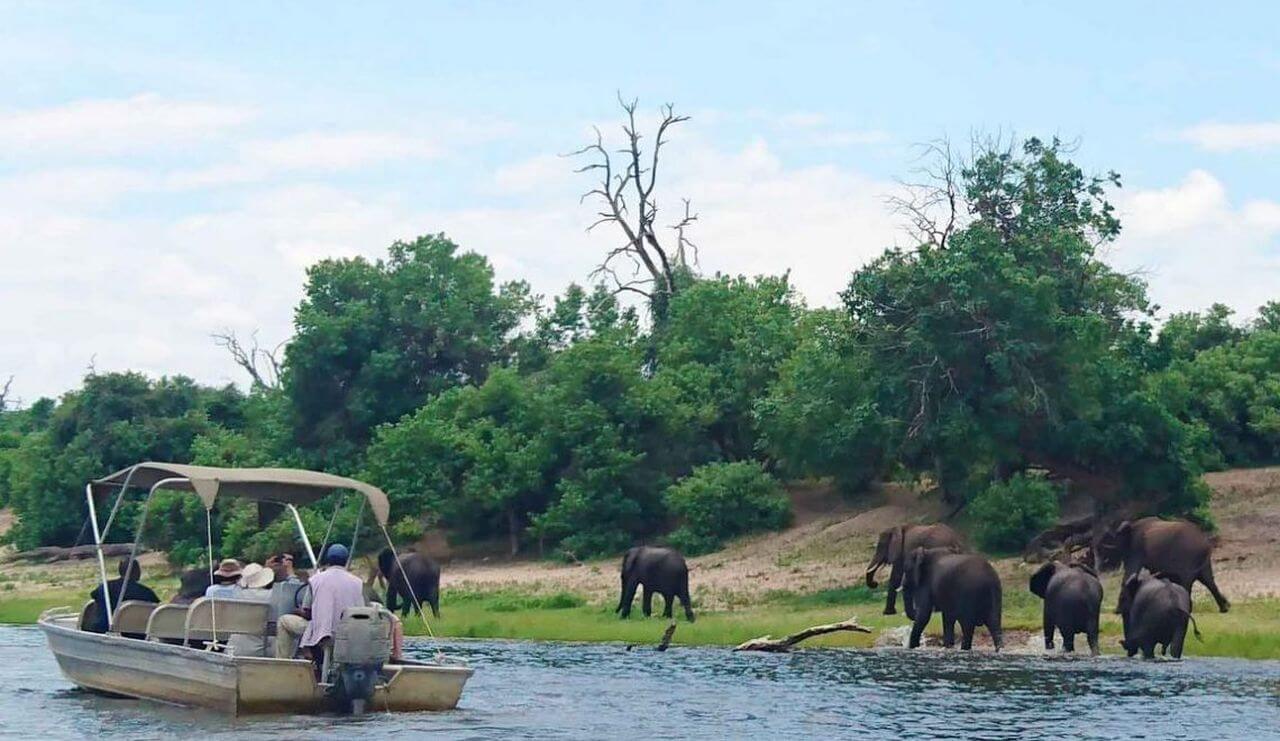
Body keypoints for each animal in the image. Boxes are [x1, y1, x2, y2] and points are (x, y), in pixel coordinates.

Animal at [1090, 517, 1228, 614]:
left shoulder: (1136, 548)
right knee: (1209, 581)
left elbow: (1130, 572)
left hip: (1189, 556)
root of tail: (1206, 543)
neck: (1131, 525)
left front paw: (1119, 610)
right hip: (1202, 560)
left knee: (1187, 582)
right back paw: (1225, 608)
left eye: (1107, 540)